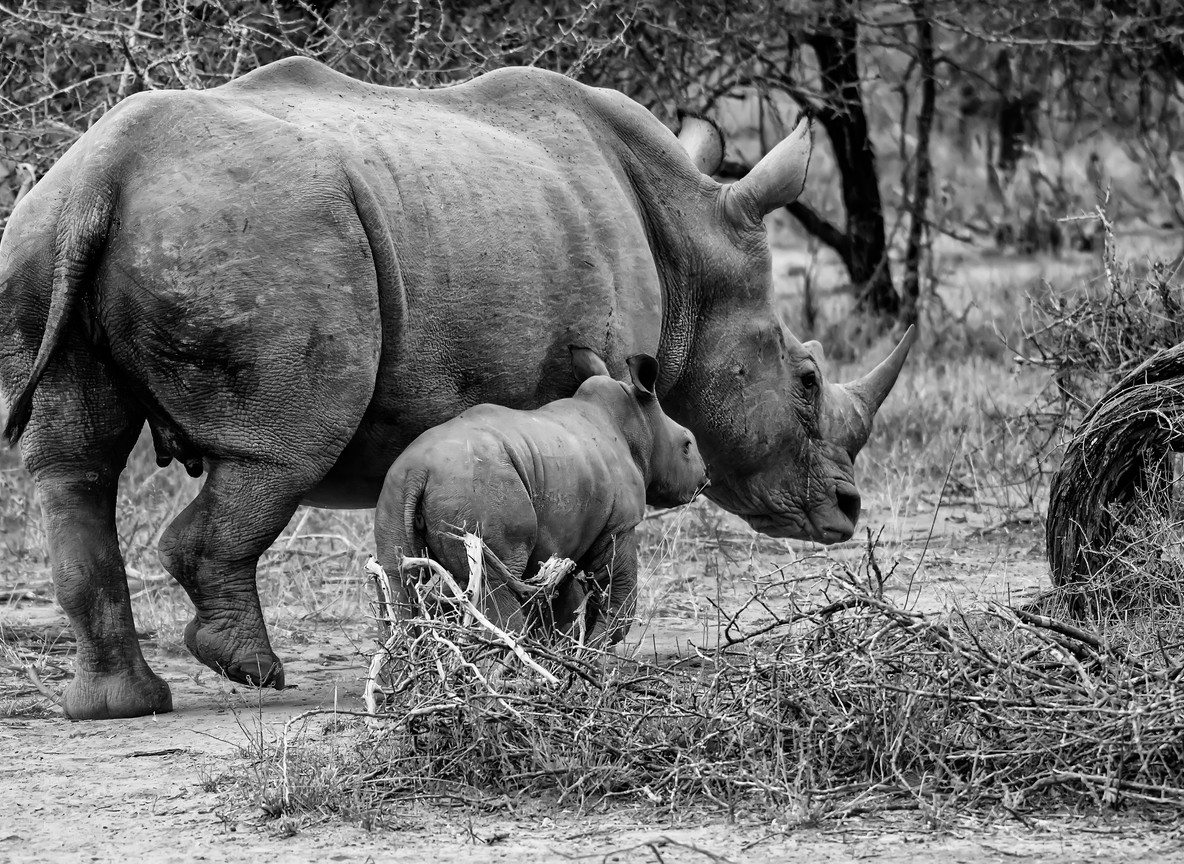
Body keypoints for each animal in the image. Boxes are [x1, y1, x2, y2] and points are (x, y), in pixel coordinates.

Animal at [375, 347, 708, 646]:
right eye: (687, 445)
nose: (705, 478)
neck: (638, 422)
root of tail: (419, 469)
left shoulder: (562, 536)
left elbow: (561, 597)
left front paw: (566, 645)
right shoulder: (620, 523)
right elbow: (618, 586)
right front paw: (594, 646)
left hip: (397, 486)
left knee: (394, 575)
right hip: (477, 484)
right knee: (494, 579)